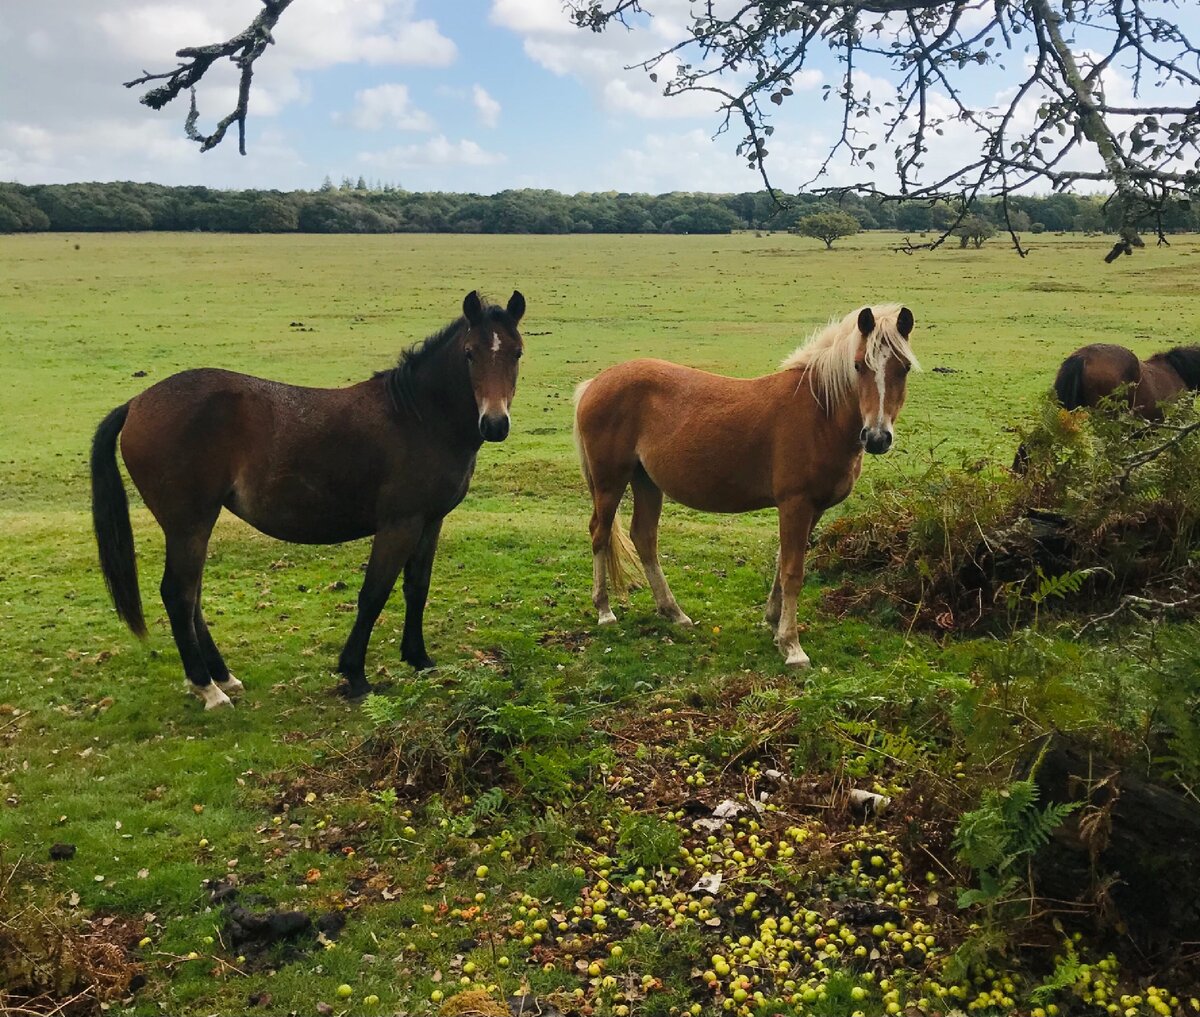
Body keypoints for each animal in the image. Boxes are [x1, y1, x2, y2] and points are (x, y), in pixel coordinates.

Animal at [93, 290, 525, 709]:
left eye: (517, 352)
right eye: (470, 353)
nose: (494, 424)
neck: (420, 418)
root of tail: (136, 404)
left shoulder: (430, 520)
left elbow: (416, 587)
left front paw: (419, 659)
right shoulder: (399, 524)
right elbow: (374, 594)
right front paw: (355, 675)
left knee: (191, 596)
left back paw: (222, 677)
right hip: (189, 524)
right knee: (179, 595)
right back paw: (208, 689)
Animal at [571, 302, 916, 666]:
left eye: (904, 367)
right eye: (858, 365)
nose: (877, 438)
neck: (819, 413)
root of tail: (595, 383)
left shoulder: (814, 509)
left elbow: (782, 563)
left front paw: (774, 623)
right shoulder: (795, 503)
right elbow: (793, 572)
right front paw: (792, 646)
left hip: (646, 482)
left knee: (644, 536)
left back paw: (674, 612)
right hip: (610, 483)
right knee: (599, 533)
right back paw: (605, 611)